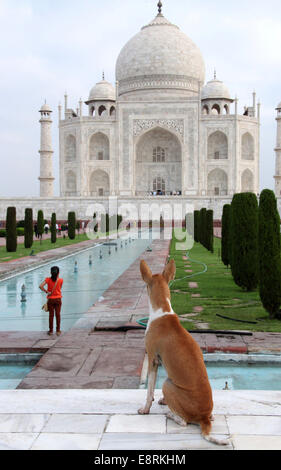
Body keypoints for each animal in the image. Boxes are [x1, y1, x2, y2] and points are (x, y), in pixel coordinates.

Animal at [138, 258, 228, 446]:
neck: (163, 311)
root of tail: (203, 418)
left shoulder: (152, 359)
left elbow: (149, 391)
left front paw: (146, 409)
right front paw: (162, 402)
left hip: (167, 384)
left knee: (184, 422)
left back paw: (171, 415)